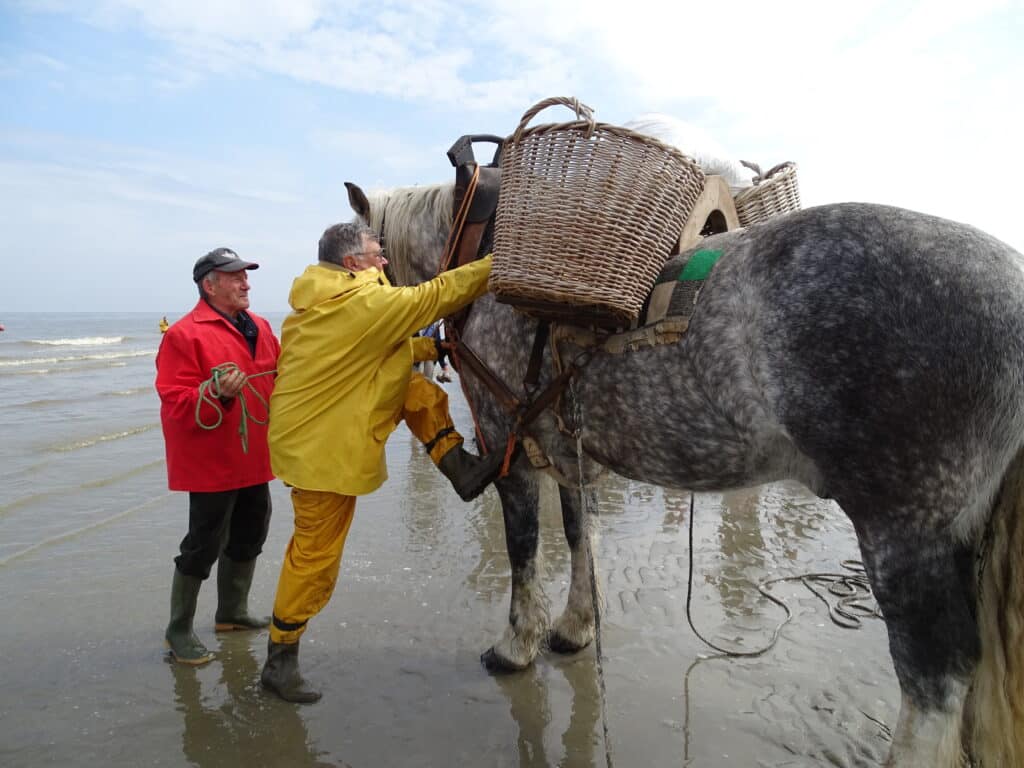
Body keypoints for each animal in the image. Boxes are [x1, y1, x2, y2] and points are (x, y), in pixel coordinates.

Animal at [350, 182, 1024, 768]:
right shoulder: (571, 457)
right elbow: (580, 537)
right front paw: (575, 627)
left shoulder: (510, 449)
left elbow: (523, 551)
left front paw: (517, 645)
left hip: (902, 531)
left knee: (936, 678)